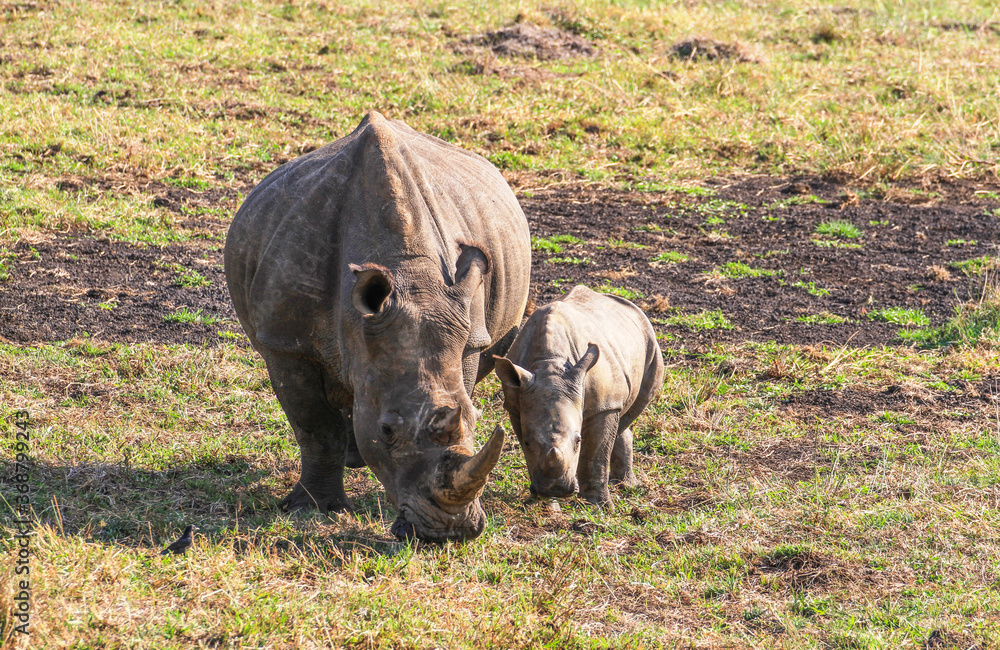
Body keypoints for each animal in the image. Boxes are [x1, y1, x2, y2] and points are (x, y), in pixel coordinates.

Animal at [224, 112, 531, 542]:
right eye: (387, 430)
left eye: (476, 421)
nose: (448, 531)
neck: (409, 274)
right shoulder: (285, 342)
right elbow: (314, 427)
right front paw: (314, 509)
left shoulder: (470, 338)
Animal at [494, 285, 663, 506]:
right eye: (529, 442)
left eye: (578, 441)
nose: (556, 489)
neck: (550, 364)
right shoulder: (516, 402)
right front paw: (543, 500)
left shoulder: (603, 404)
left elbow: (595, 454)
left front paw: (598, 506)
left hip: (650, 342)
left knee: (633, 408)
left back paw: (627, 486)